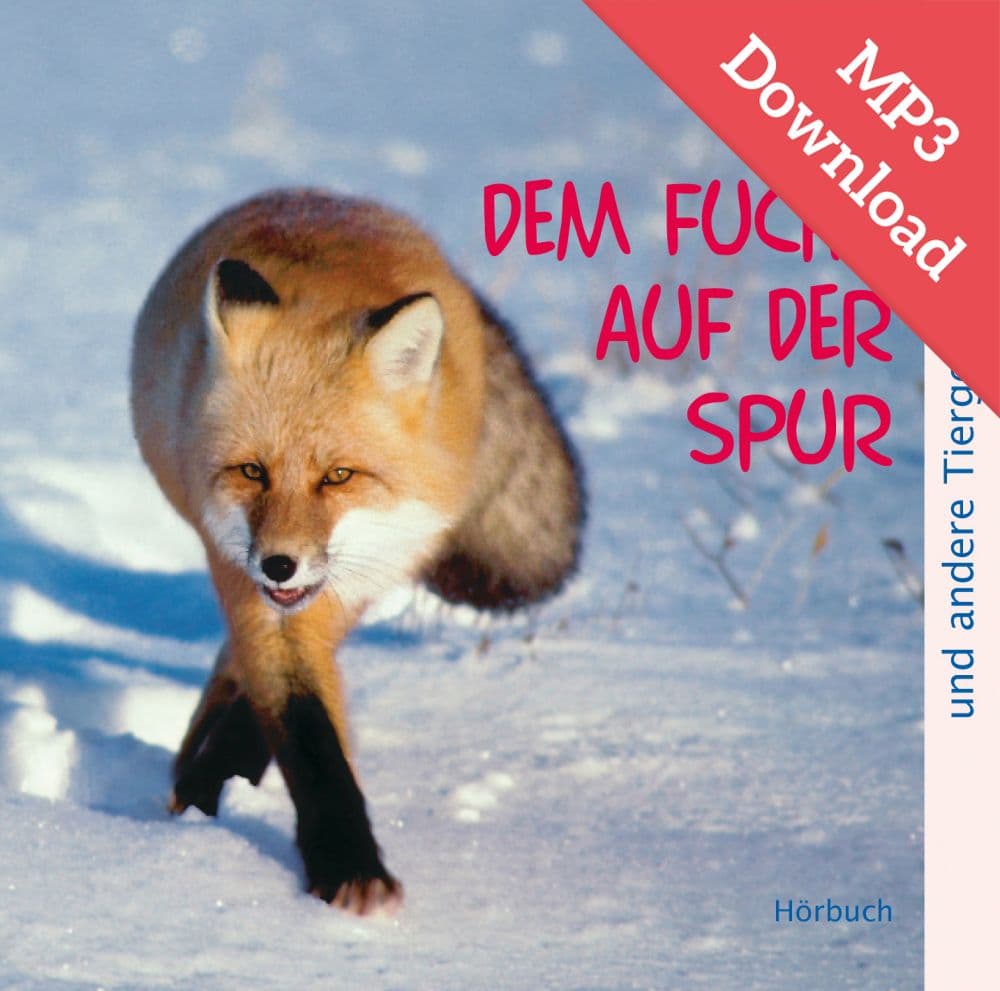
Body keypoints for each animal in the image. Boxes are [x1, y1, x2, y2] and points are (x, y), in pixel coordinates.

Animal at [130, 189, 583, 914]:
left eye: (338, 476)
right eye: (252, 472)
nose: (278, 563)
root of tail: (328, 197)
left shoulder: (352, 580)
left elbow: (295, 720)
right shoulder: (251, 584)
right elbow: (307, 735)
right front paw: (344, 865)